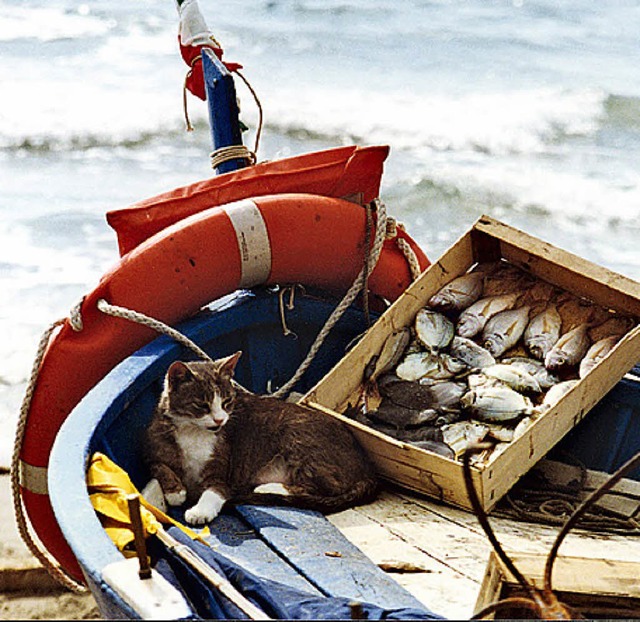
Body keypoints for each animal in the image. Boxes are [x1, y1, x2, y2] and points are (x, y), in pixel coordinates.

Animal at [142, 354, 378, 524]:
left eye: (227, 401)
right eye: (202, 405)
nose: (220, 420)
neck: (194, 432)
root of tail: (368, 471)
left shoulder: (223, 471)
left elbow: (214, 490)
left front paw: (199, 511)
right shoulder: (152, 446)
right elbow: (157, 465)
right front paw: (175, 491)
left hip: (297, 436)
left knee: (326, 487)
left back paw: (268, 488)